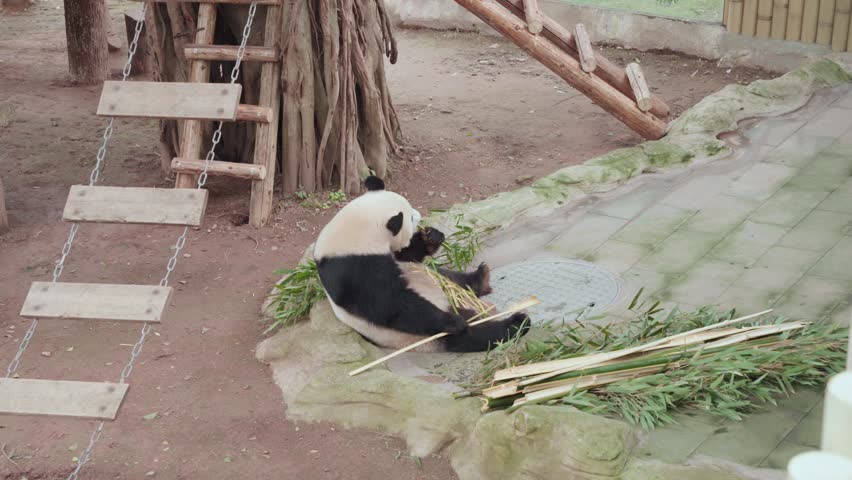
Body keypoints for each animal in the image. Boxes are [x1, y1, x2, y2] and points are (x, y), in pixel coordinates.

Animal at [313, 176, 531, 352]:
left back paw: (480, 279)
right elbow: (391, 304)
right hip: (425, 336)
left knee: (449, 277)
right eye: (409, 216)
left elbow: (408, 256)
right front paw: (452, 322)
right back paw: (515, 323)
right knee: (473, 334)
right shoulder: (356, 268)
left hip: (434, 281)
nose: (418, 215)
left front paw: (431, 237)